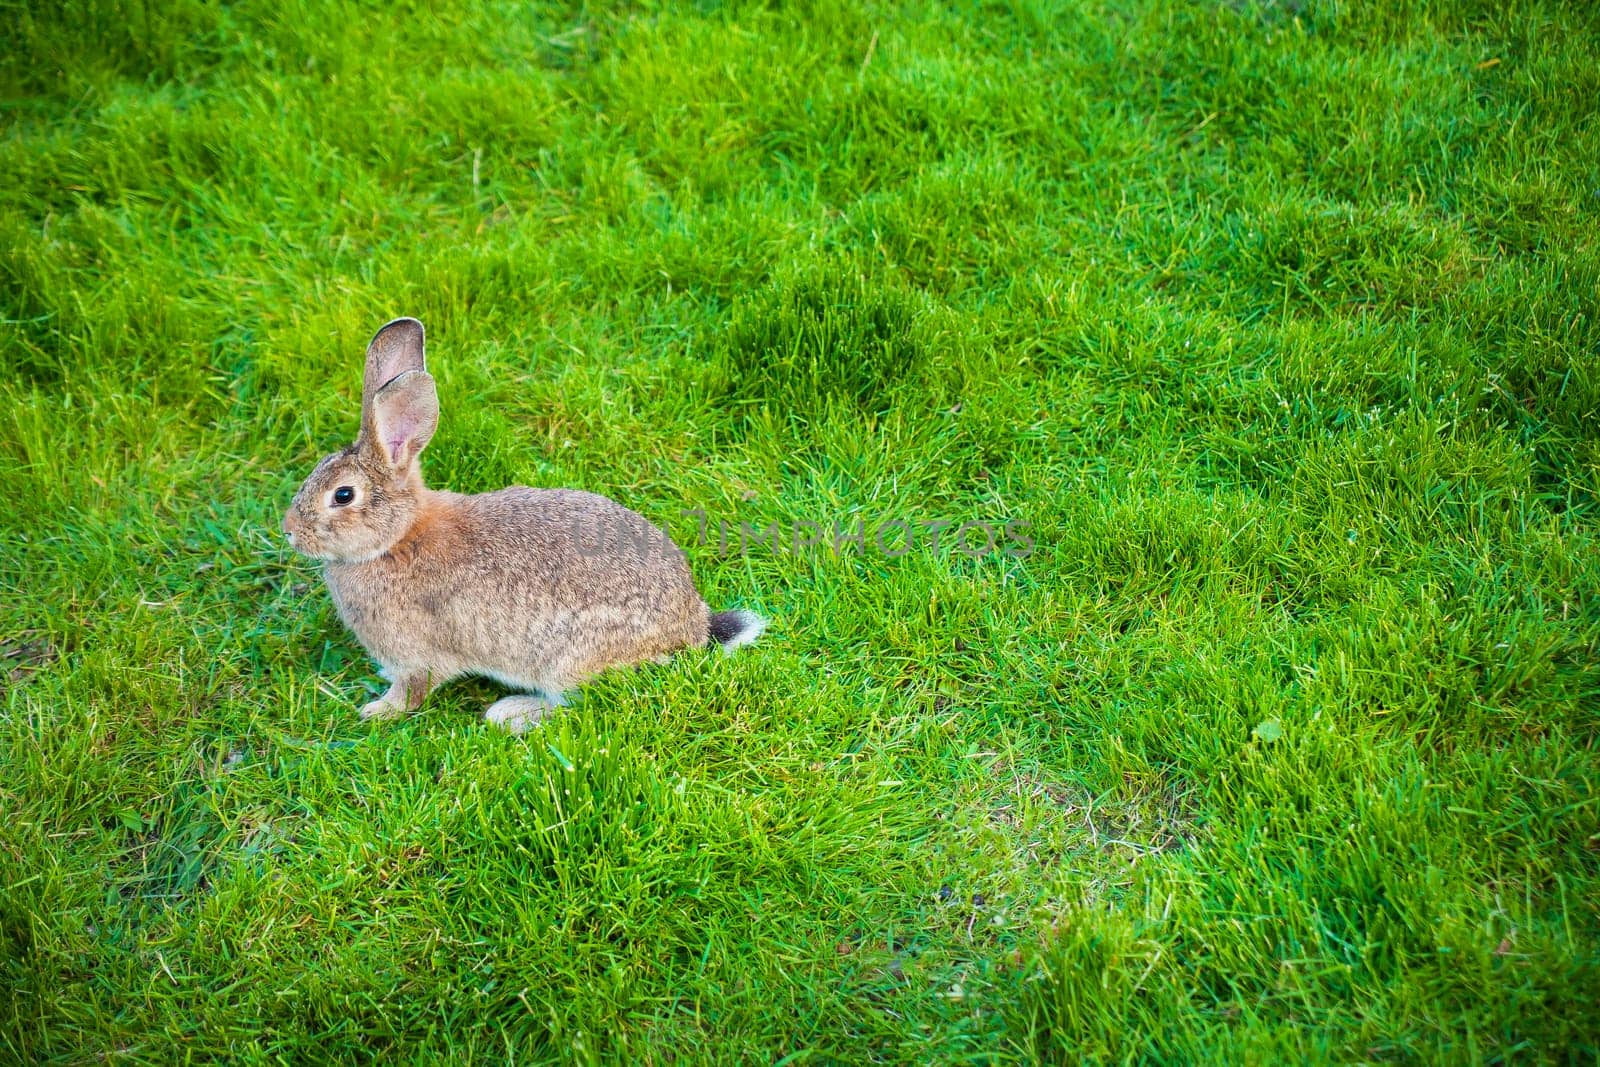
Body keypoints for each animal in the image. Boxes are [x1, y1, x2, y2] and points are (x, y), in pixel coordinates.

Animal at [281, 316, 768, 735]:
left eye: (343, 496)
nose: (288, 530)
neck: (397, 538)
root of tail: (690, 629)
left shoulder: (415, 654)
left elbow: (412, 690)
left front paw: (376, 711)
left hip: (568, 661)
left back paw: (511, 713)